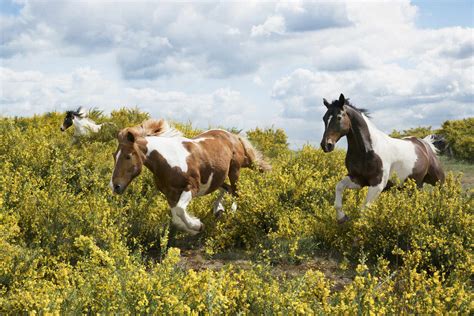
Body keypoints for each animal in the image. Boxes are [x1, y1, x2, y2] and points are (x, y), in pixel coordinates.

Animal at [110, 118, 270, 235]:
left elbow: (180, 210)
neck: (170, 161)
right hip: (219, 176)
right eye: (114, 155)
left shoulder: (191, 187)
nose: (115, 186)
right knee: (227, 189)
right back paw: (218, 210)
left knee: (236, 192)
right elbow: (176, 217)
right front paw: (193, 227)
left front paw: (198, 225)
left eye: (128, 156)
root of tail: (233, 136)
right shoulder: (170, 194)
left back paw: (232, 212)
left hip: (234, 171)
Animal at [318, 92, 444, 223]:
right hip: (413, 186)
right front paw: (342, 218)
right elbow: (339, 187)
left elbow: (364, 209)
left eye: (339, 117)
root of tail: (425, 144)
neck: (367, 151)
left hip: (437, 181)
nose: (326, 145)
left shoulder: (378, 184)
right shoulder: (358, 179)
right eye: (324, 118)